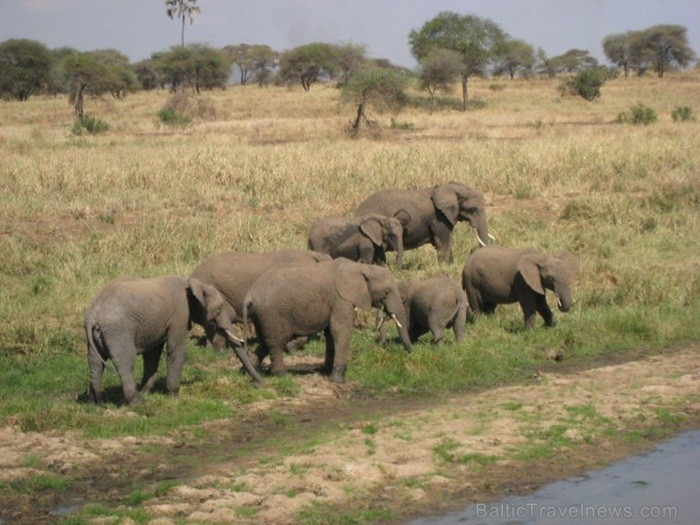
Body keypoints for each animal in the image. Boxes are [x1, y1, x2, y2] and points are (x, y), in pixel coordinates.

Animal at [85, 276, 264, 404]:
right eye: (220, 308)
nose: (260, 383)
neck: (195, 284)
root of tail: (93, 315)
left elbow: (153, 354)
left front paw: (147, 391)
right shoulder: (179, 313)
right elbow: (176, 348)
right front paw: (174, 395)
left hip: (98, 336)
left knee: (95, 364)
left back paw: (95, 402)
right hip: (118, 331)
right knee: (125, 363)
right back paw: (138, 402)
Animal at [243, 256, 412, 380]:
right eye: (387, 292)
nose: (409, 352)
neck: (361, 268)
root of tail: (249, 295)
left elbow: (331, 333)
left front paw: (327, 371)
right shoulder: (341, 299)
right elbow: (341, 330)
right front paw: (337, 379)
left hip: (262, 315)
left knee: (266, 341)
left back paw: (248, 371)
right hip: (272, 314)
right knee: (276, 342)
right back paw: (281, 376)